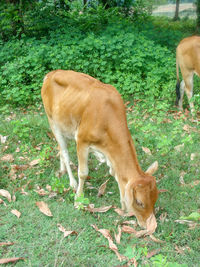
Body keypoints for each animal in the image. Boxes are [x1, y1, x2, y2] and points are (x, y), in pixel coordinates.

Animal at [41, 70, 159, 229]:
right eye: (139, 202)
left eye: (155, 199)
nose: (150, 227)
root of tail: (51, 73)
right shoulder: (82, 140)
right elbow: (83, 173)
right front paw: (78, 199)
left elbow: (114, 172)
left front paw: (122, 203)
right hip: (52, 121)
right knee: (64, 152)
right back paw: (72, 182)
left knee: (61, 149)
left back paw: (63, 169)